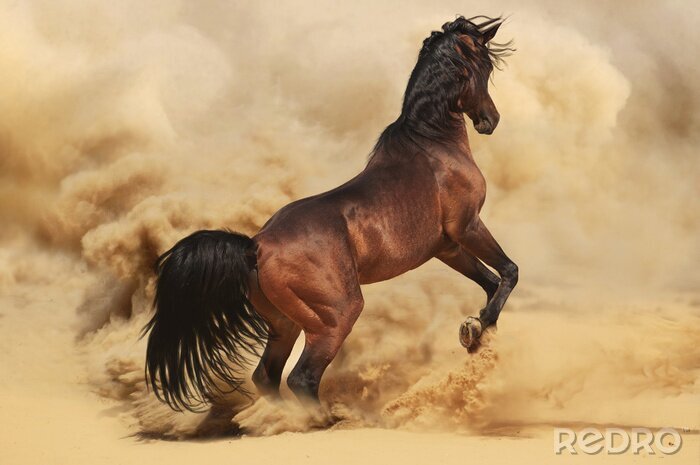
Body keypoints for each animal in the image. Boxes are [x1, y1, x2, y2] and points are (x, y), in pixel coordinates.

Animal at [144, 15, 517, 413]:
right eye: (485, 66)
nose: (490, 120)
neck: (433, 145)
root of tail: (255, 246)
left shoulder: (446, 247)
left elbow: (490, 282)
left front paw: (477, 333)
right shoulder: (468, 227)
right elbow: (508, 273)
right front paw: (478, 328)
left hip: (286, 322)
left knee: (267, 376)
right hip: (336, 315)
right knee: (301, 377)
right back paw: (329, 418)